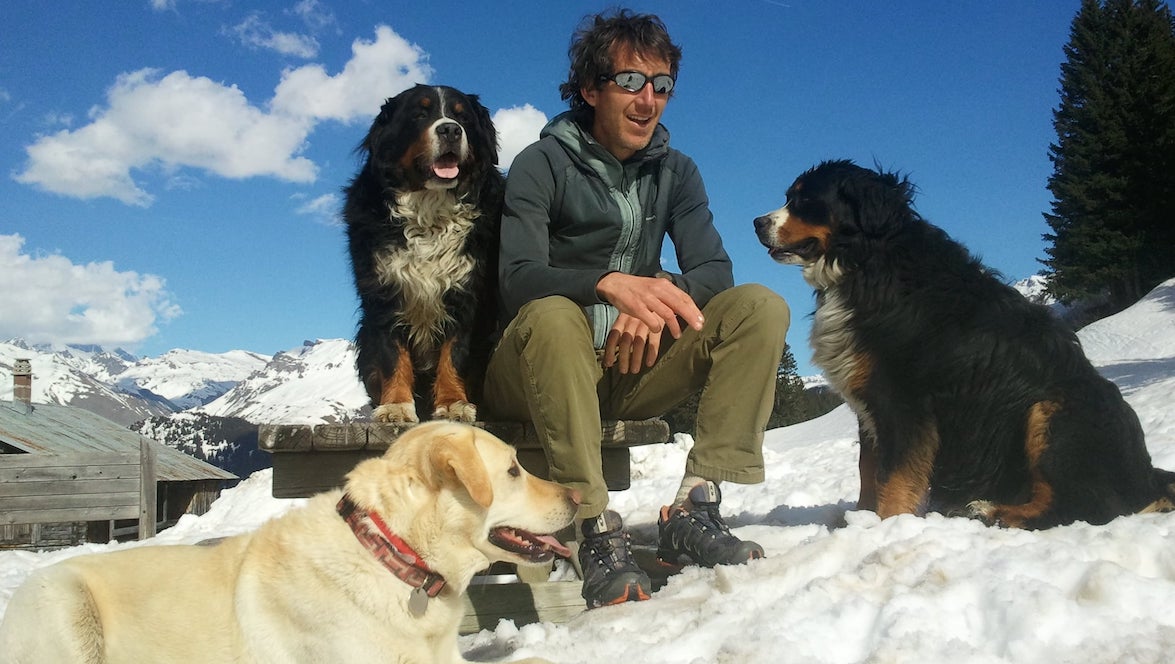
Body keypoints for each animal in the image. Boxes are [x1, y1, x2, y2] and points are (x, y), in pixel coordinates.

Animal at [344, 84, 505, 424]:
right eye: (419, 114)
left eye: (462, 117)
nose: (450, 130)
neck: (430, 213)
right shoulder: (384, 294)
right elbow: (392, 355)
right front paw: (395, 406)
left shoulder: (466, 294)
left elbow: (454, 353)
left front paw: (454, 403)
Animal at [754, 159, 1175, 529]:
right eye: (789, 196)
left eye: (805, 199)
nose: (757, 222)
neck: (865, 262)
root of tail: (1147, 476)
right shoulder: (869, 402)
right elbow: (867, 471)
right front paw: (860, 521)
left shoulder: (904, 403)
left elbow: (894, 475)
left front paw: (886, 527)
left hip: (1052, 412)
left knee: (1085, 505)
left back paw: (993, 512)